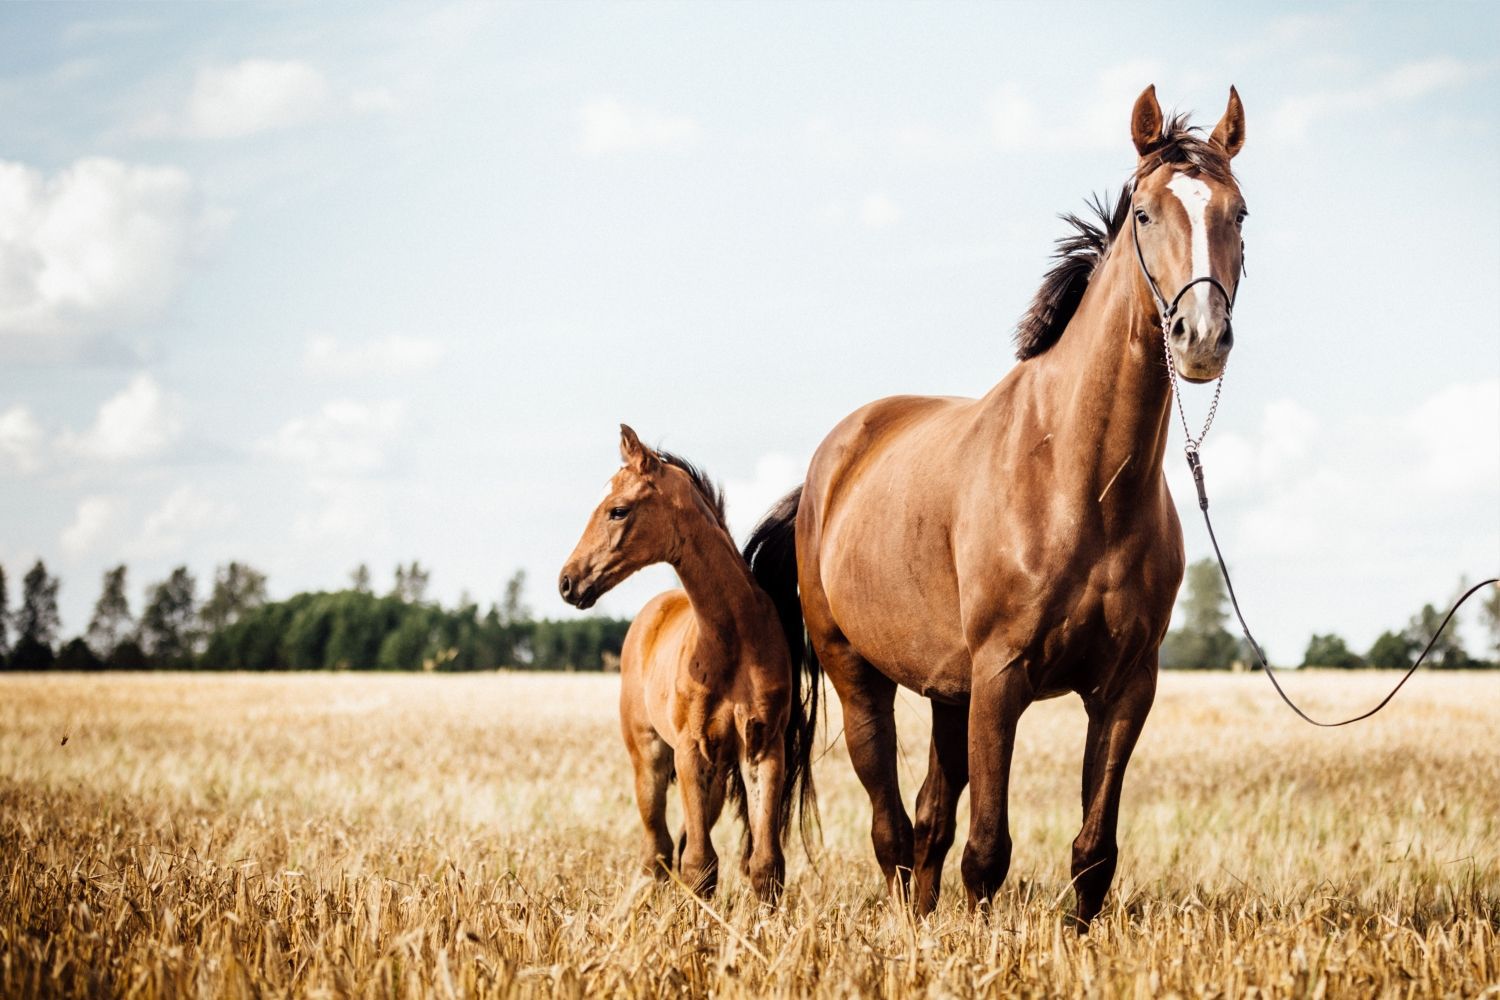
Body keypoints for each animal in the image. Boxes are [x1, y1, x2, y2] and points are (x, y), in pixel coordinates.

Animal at [558, 425, 816, 905]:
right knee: (657, 849)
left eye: (618, 510)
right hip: (650, 759)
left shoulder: (762, 750)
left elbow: (765, 864)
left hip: (713, 777)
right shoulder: (691, 751)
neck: (730, 641)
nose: (567, 582)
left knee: (673, 845)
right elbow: (700, 865)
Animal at [750, 88, 1254, 929]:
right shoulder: (1001, 679)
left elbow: (1092, 852)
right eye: (1145, 212)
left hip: (946, 691)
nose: (1201, 336)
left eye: (1238, 213)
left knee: (927, 817)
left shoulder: (1126, 688)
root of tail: (828, 467)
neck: (1080, 482)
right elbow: (987, 851)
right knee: (891, 826)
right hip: (860, 676)